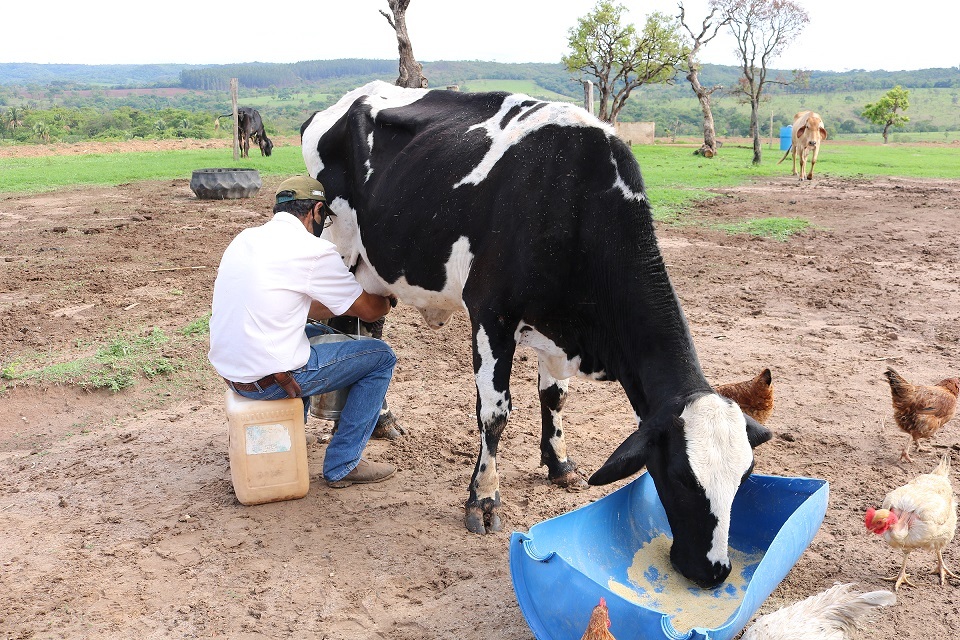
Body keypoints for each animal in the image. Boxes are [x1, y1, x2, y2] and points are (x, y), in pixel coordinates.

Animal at [300, 81, 772, 592]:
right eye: (684, 478)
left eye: (745, 477)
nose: (713, 571)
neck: (573, 200)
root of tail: (356, 95)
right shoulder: (491, 314)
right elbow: (495, 414)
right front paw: (484, 500)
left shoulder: (560, 329)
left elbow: (555, 396)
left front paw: (559, 464)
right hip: (341, 247)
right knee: (347, 323)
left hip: (377, 267)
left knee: (373, 328)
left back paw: (383, 419)